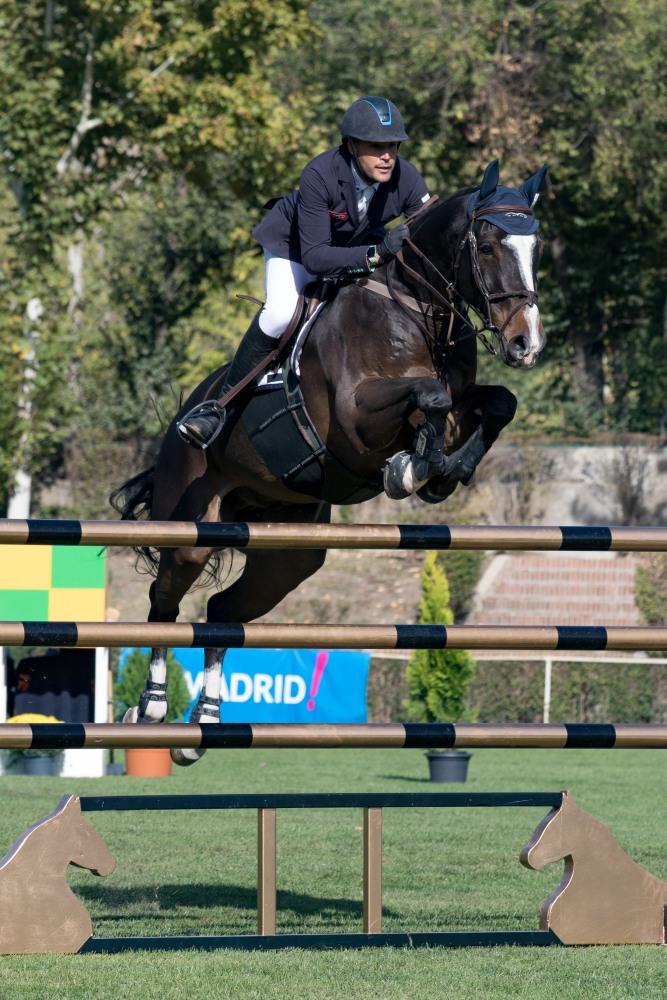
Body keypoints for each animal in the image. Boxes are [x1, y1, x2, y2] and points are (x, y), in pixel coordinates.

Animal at [109, 162, 548, 764]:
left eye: (537, 245)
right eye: (485, 245)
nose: (526, 343)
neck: (415, 309)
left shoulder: (462, 400)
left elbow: (496, 403)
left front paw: (444, 472)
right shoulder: (356, 422)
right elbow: (429, 396)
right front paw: (413, 468)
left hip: (289, 554)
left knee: (221, 613)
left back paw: (207, 721)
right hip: (192, 527)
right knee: (165, 600)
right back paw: (152, 705)